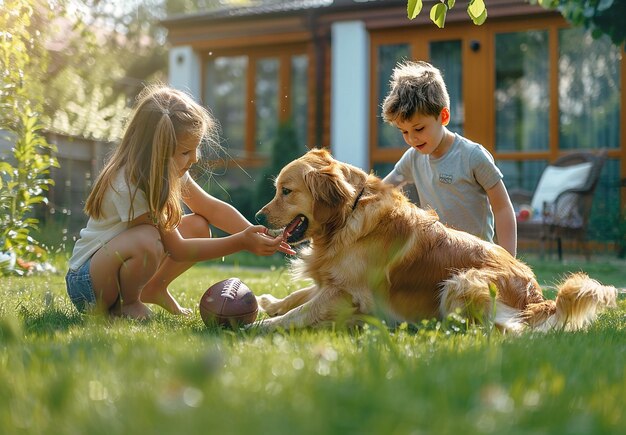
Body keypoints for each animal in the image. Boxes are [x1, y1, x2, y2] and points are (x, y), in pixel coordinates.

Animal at [254, 148, 616, 332]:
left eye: (286, 191)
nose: (257, 216)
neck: (348, 215)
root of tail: (537, 297)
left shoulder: (347, 292)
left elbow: (303, 311)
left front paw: (261, 326)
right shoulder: (332, 281)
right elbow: (299, 296)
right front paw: (268, 303)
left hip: (461, 282)